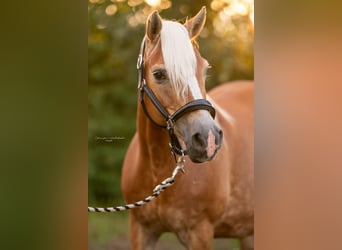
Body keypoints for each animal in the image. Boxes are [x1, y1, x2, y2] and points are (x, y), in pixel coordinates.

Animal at [121, 5, 254, 250]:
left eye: (204, 69)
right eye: (159, 74)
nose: (208, 139)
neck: (157, 170)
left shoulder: (199, 232)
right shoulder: (141, 230)